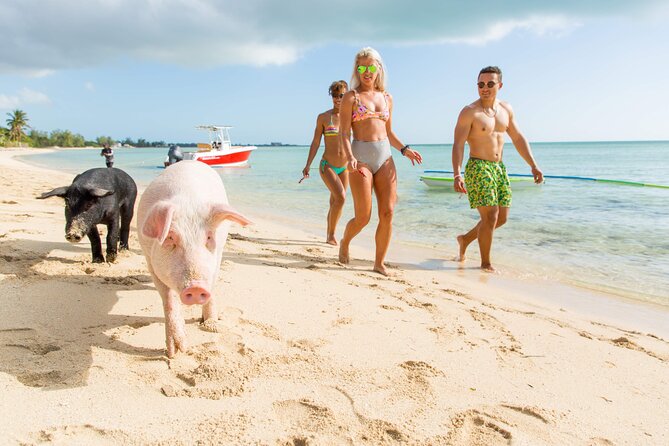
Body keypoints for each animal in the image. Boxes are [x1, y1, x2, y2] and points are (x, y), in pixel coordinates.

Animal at [137, 160, 250, 358]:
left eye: (209, 237)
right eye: (170, 238)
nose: (196, 287)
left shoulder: (216, 257)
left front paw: (210, 325)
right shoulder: (149, 260)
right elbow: (168, 298)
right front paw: (176, 351)